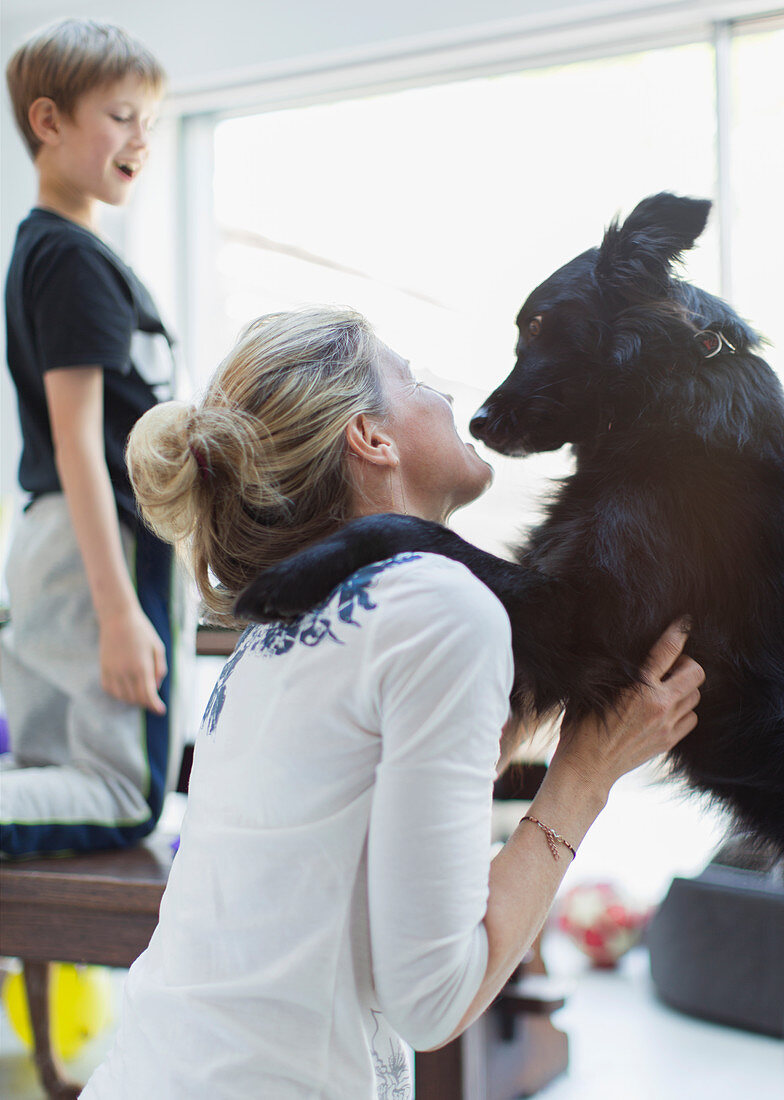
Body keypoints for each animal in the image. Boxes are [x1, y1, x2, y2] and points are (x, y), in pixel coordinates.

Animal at [237, 195, 782, 849]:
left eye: (540, 326)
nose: (476, 421)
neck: (659, 393)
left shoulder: (587, 621)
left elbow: (412, 529)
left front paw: (291, 574)